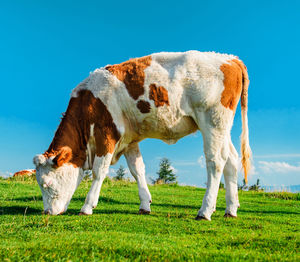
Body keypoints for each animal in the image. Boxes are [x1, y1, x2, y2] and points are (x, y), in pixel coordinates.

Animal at [32, 50, 251, 220]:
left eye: (46, 183)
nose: (47, 212)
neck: (89, 101)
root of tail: (230, 59)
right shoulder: (129, 140)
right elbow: (138, 170)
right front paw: (145, 205)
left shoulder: (107, 133)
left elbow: (99, 171)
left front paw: (87, 207)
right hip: (222, 128)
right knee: (231, 160)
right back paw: (230, 210)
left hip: (212, 120)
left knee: (215, 162)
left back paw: (205, 211)